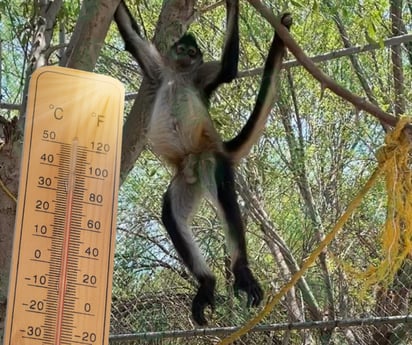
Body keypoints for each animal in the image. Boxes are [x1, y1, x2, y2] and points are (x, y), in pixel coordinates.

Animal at [114, 0, 292, 324]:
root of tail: (201, 157)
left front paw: (234, 3)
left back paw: (241, 271)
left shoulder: (202, 74)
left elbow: (228, 70)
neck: (180, 75)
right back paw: (207, 283)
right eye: (182, 49)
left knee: (224, 197)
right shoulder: (159, 69)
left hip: (210, 160)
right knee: (171, 216)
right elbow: (132, 37)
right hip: (187, 178)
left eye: (192, 51)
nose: (186, 54)